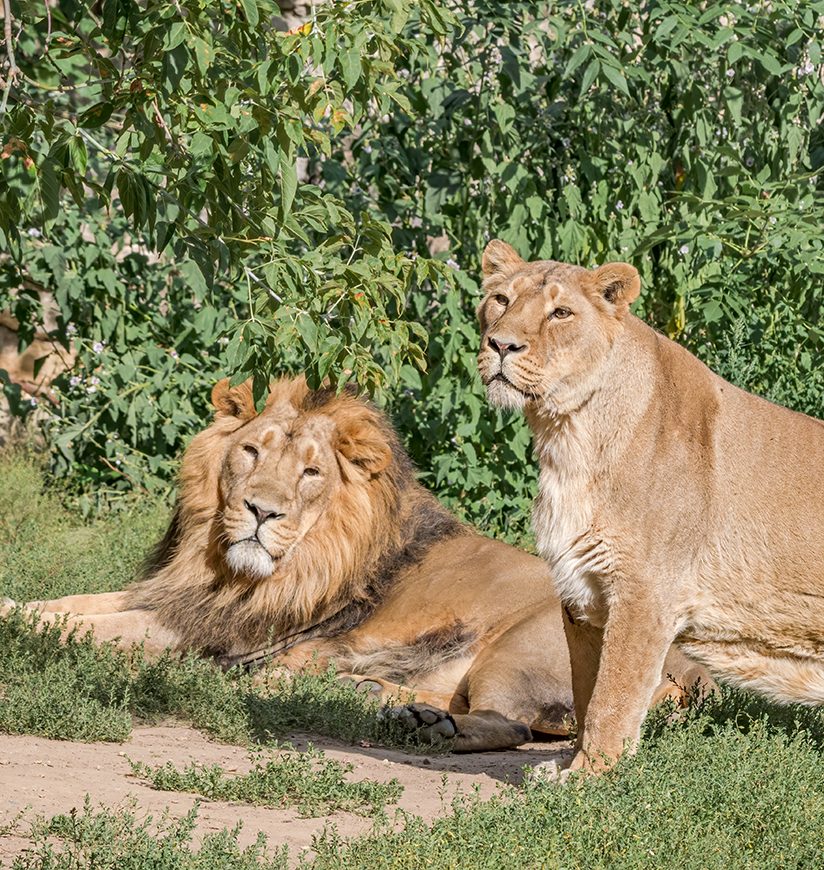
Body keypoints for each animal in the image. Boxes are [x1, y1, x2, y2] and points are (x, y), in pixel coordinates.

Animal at [4, 378, 700, 752]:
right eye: (250, 452)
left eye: (311, 473)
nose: (262, 511)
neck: (223, 569)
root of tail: (687, 665)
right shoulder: (168, 597)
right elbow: (65, 607)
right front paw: (17, 605)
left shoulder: (201, 631)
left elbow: (77, 627)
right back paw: (384, 701)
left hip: (523, 649)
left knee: (511, 726)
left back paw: (429, 728)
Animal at [476, 242, 824, 772]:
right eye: (500, 299)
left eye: (561, 313)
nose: (501, 345)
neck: (569, 436)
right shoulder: (583, 593)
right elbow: (585, 690)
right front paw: (571, 766)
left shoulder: (646, 592)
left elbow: (612, 698)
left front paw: (589, 778)